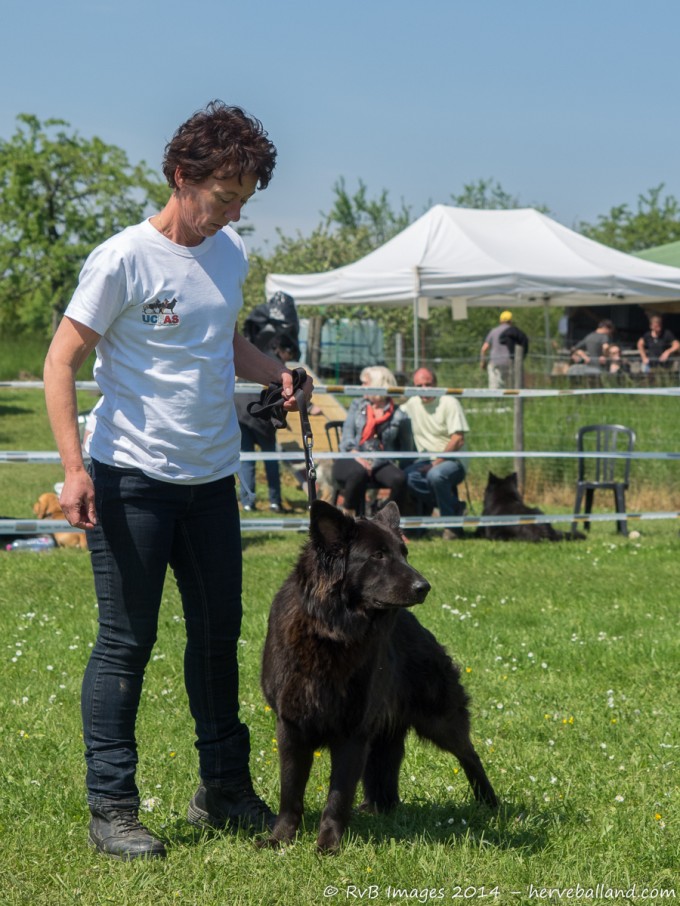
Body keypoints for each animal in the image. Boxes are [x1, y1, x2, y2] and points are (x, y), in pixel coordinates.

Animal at [258, 498, 496, 852]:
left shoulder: (352, 732)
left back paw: (490, 803)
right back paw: (379, 808)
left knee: (470, 754)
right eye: (378, 556)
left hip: (440, 720)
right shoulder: (291, 727)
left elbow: (337, 797)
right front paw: (281, 838)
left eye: (404, 553)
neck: (331, 631)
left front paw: (327, 844)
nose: (424, 587)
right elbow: (290, 792)